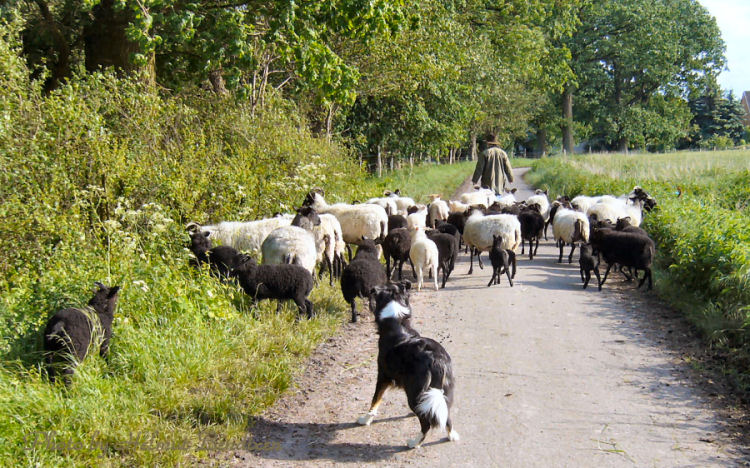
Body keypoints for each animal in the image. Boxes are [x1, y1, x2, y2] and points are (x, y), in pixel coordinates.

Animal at [356, 282, 458, 450]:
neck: (397, 322)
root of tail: (436, 359)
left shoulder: (383, 375)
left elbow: (375, 400)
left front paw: (365, 419)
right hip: (443, 391)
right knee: (447, 416)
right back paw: (451, 435)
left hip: (414, 391)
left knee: (426, 425)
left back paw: (414, 443)